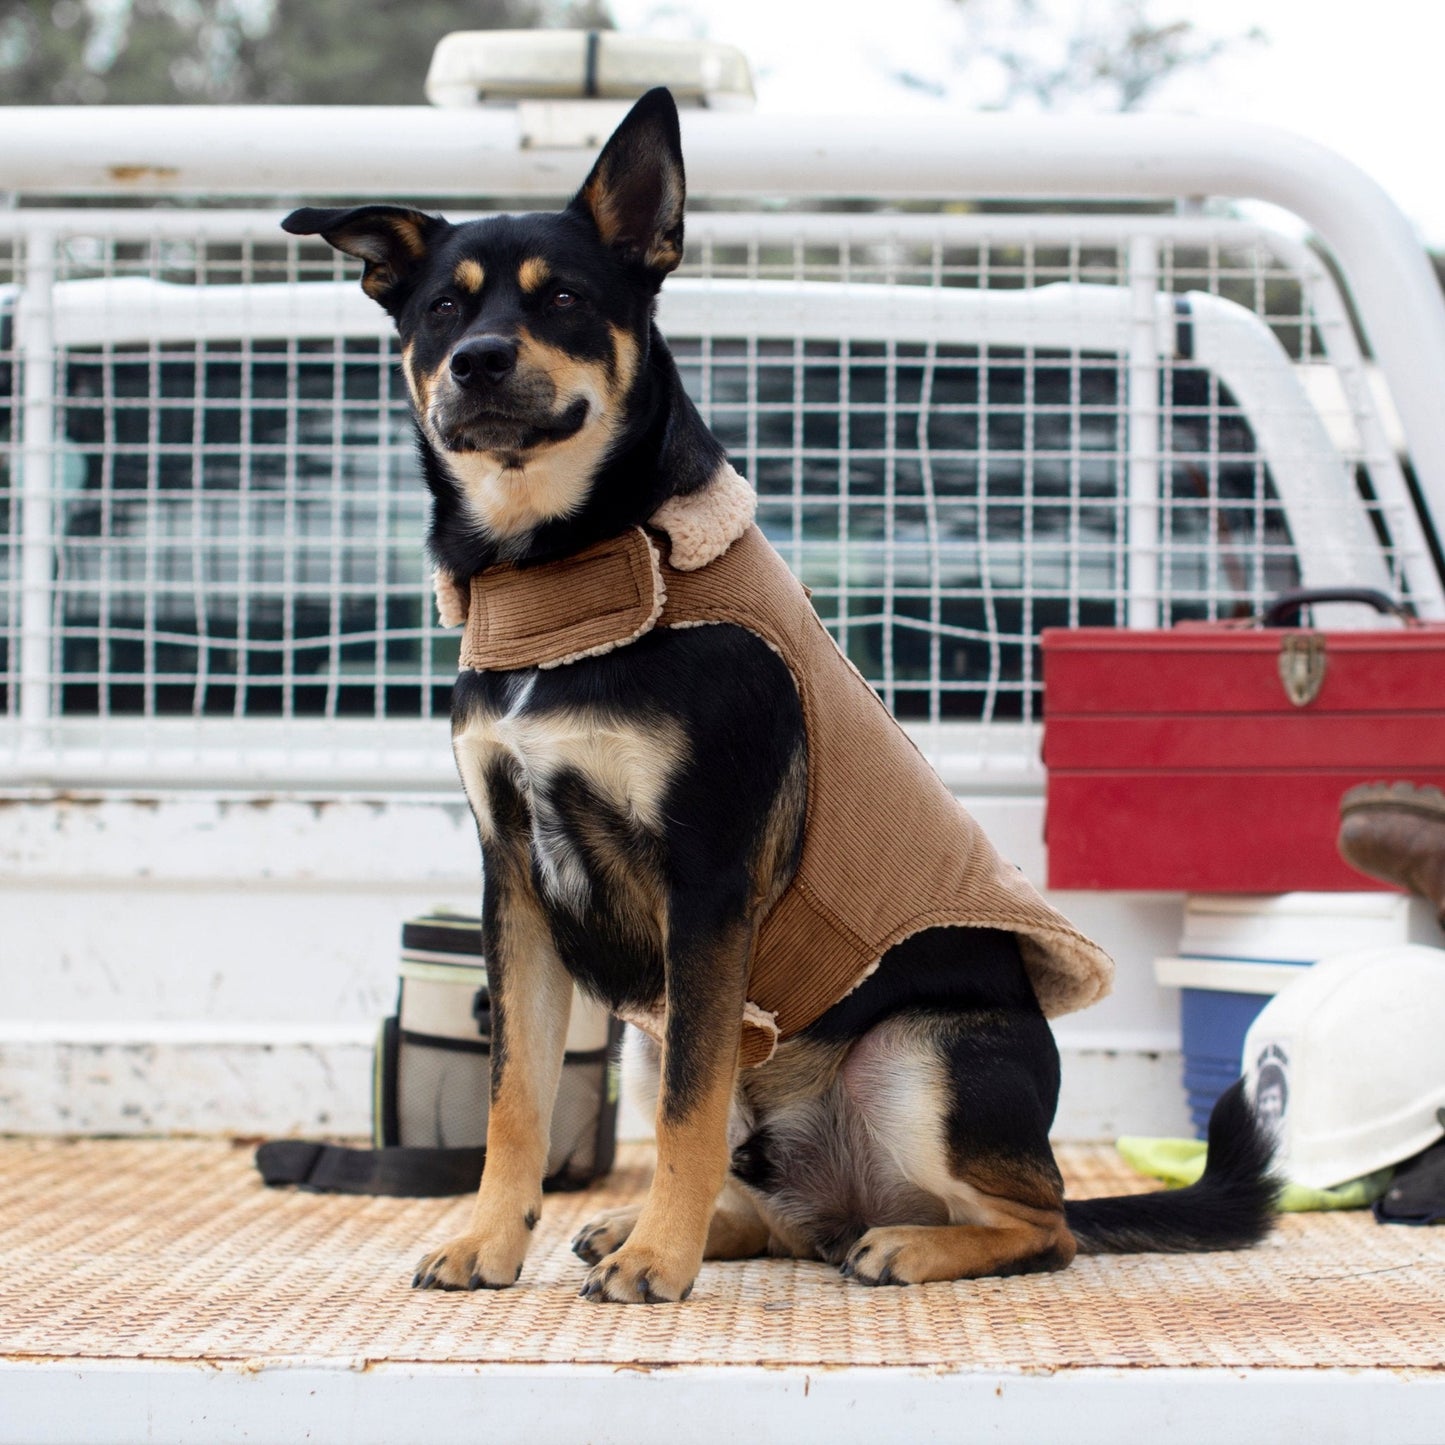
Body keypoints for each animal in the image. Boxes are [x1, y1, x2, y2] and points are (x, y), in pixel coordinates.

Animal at [281, 93, 1277, 1312]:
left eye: (563, 298)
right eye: (438, 310)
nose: (475, 361)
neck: (562, 577)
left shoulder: (705, 879)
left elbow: (685, 1108)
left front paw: (659, 1264)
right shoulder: (513, 881)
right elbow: (516, 1098)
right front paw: (493, 1240)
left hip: (918, 1055)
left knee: (1040, 1224)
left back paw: (886, 1243)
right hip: (671, 1035)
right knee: (779, 1206)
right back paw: (671, 1224)